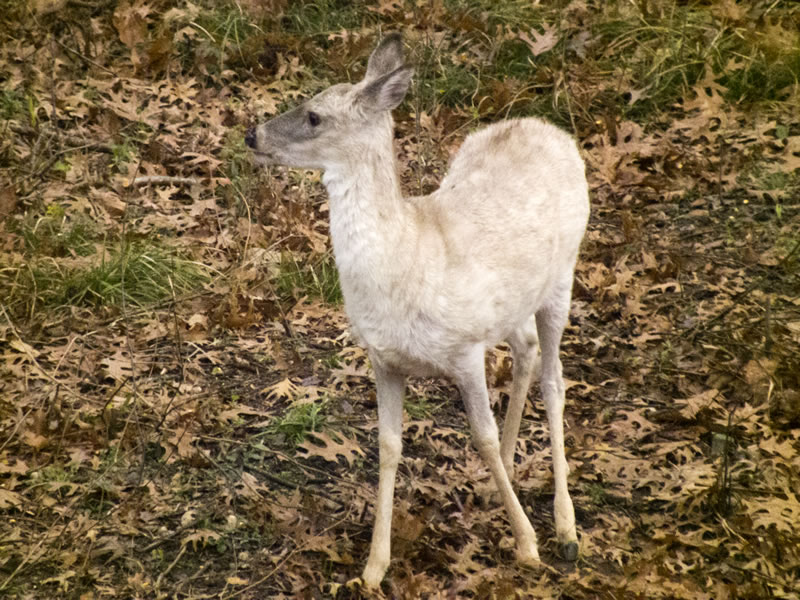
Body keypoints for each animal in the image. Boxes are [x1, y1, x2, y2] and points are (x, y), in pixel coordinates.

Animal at [245, 33, 589, 588]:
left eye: (315, 115)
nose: (252, 135)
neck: (405, 266)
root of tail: (547, 127)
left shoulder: (466, 349)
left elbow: (481, 436)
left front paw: (527, 544)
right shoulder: (384, 359)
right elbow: (388, 445)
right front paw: (373, 567)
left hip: (563, 275)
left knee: (555, 381)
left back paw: (565, 528)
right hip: (515, 301)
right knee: (527, 348)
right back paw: (507, 473)